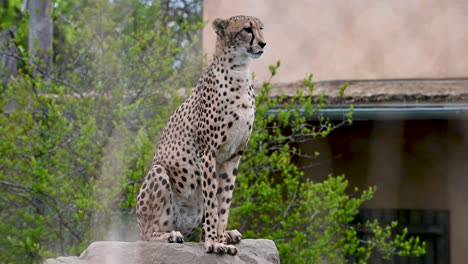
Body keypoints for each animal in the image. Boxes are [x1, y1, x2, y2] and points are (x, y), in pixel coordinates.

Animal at [136, 15, 266, 255]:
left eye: (261, 28)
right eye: (247, 30)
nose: (263, 43)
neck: (240, 71)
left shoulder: (233, 156)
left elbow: (224, 203)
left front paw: (220, 237)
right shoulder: (208, 154)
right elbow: (214, 203)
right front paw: (214, 243)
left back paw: (226, 234)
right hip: (158, 173)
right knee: (147, 236)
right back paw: (170, 236)